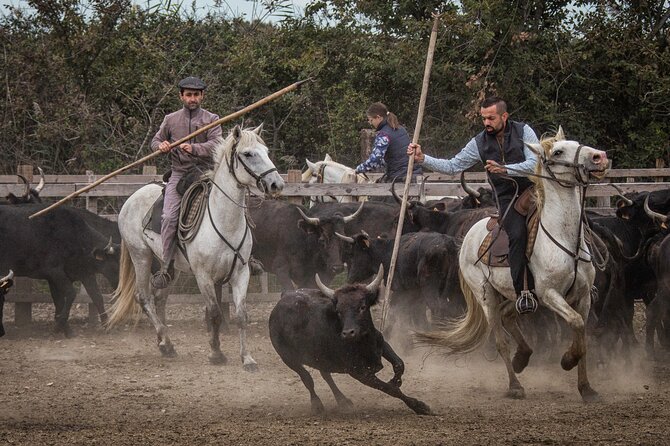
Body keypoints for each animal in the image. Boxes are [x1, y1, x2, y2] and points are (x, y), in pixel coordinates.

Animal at [0, 205, 119, 334]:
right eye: (116, 265)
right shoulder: (55, 272)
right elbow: (70, 294)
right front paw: (61, 325)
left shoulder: (82, 273)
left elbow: (95, 296)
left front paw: (106, 324)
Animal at [107, 125, 284, 370]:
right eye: (248, 154)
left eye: (266, 151)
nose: (277, 184)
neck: (223, 219)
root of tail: (132, 197)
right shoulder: (204, 277)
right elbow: (215, 313)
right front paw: (216, 353)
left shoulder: (241, 273)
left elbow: (241, 315)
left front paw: (247, 358)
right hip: (140, 256)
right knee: (144, 298)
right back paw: (166, 343)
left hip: (169, 267)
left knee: (160, 298)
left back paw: (164, 343)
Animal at [422, 127, 612, 402]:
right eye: (558, 152)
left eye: (576, 143)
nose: (600, 157)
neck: (564, 237)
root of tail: (469, 235)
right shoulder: (549, 294)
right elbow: (576, 322)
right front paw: (567, 360)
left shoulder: (584, 295)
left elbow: (582, 332)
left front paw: (586, 389)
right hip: (487, 296)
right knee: (500, 339)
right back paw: (515, 385)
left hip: (515, 293)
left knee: (509, 315)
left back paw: (522, 357)